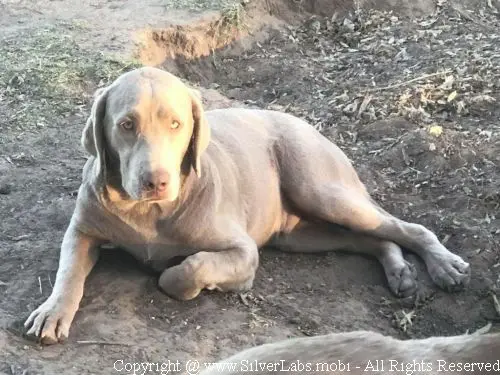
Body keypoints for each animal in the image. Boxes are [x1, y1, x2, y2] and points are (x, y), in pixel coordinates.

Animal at [23, 67, 470, 344]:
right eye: (126, 125)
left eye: (176, 124)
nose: (156, 182)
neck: (148, 214)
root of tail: (307, 124)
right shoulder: (82, 230)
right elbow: (68, 271)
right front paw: (52, 311)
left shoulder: (242, 251)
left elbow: (186, 270)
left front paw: (185, 276)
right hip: (300, 233)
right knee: (372, 238)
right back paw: (400, 272)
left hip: (318, 186)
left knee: (403, 227)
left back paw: (445, 266)